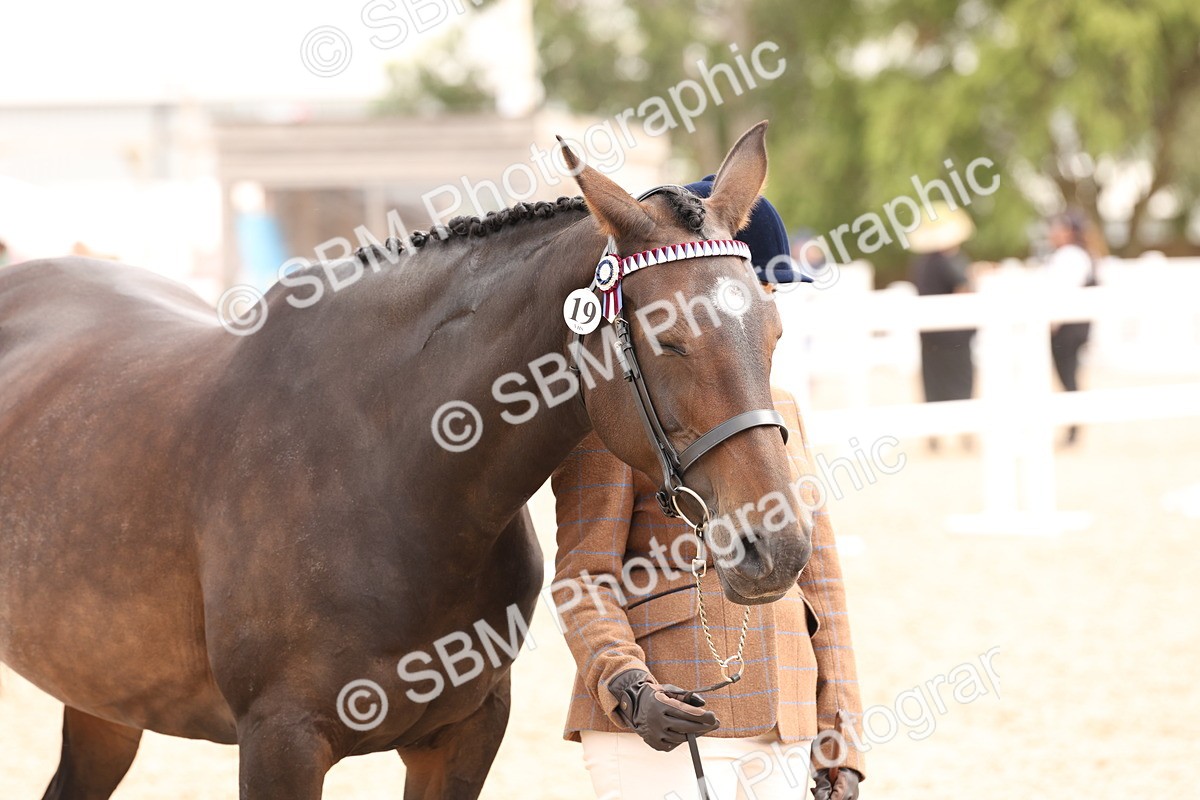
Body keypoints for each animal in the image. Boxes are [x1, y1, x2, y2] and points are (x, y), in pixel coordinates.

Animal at [0, 122, 811, 799]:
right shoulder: (279, 744)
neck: (389, 478)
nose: (776, 548)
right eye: (667, 338)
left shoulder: (461, 738)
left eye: (775, 332)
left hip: (106, 699)